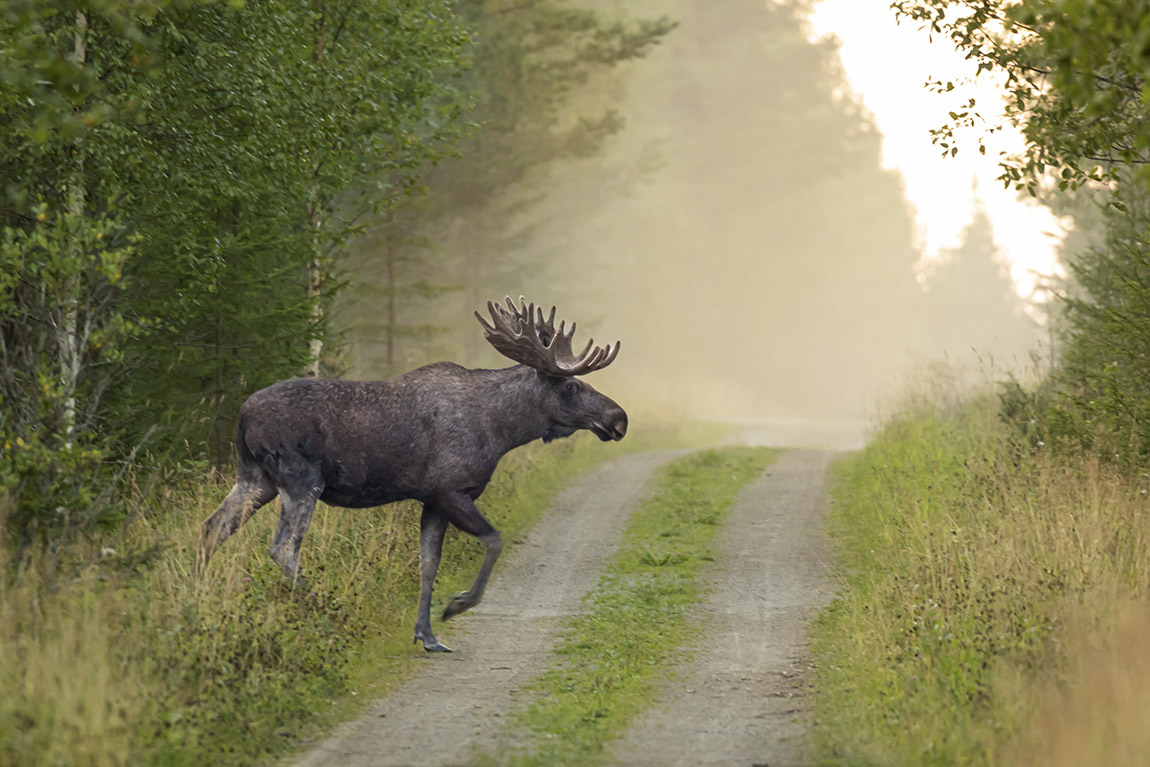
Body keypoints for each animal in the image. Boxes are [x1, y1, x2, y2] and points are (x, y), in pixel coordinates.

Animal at [197, 296, 630, 653]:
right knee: (283, 547)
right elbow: (494, 541)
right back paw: (329, 614)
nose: (619, 418)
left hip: (255, 479)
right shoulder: (452, 490)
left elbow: (428, 563)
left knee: (213, 526)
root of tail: (242, 414)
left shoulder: (432, 499)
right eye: (571, 385)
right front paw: (457, 605)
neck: (502, 429)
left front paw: (427, 634)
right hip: (301, 481)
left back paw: (200, 594)